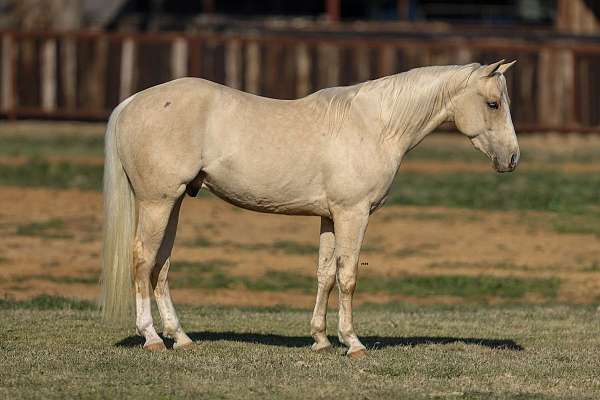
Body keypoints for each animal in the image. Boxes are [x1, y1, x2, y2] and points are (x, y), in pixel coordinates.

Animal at [101, 60, 516, 356]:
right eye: (493, 104)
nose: (512, 158)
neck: (375, 125)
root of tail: (132, 102)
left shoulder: (330, 218)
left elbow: (325, 275)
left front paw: (320, 339)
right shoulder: (352, 214)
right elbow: (347, 276)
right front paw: (352, 342)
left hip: (172, 204)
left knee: (161, 264)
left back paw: (180, 337)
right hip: (157, 202)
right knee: (143, 259)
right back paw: (152, 337)